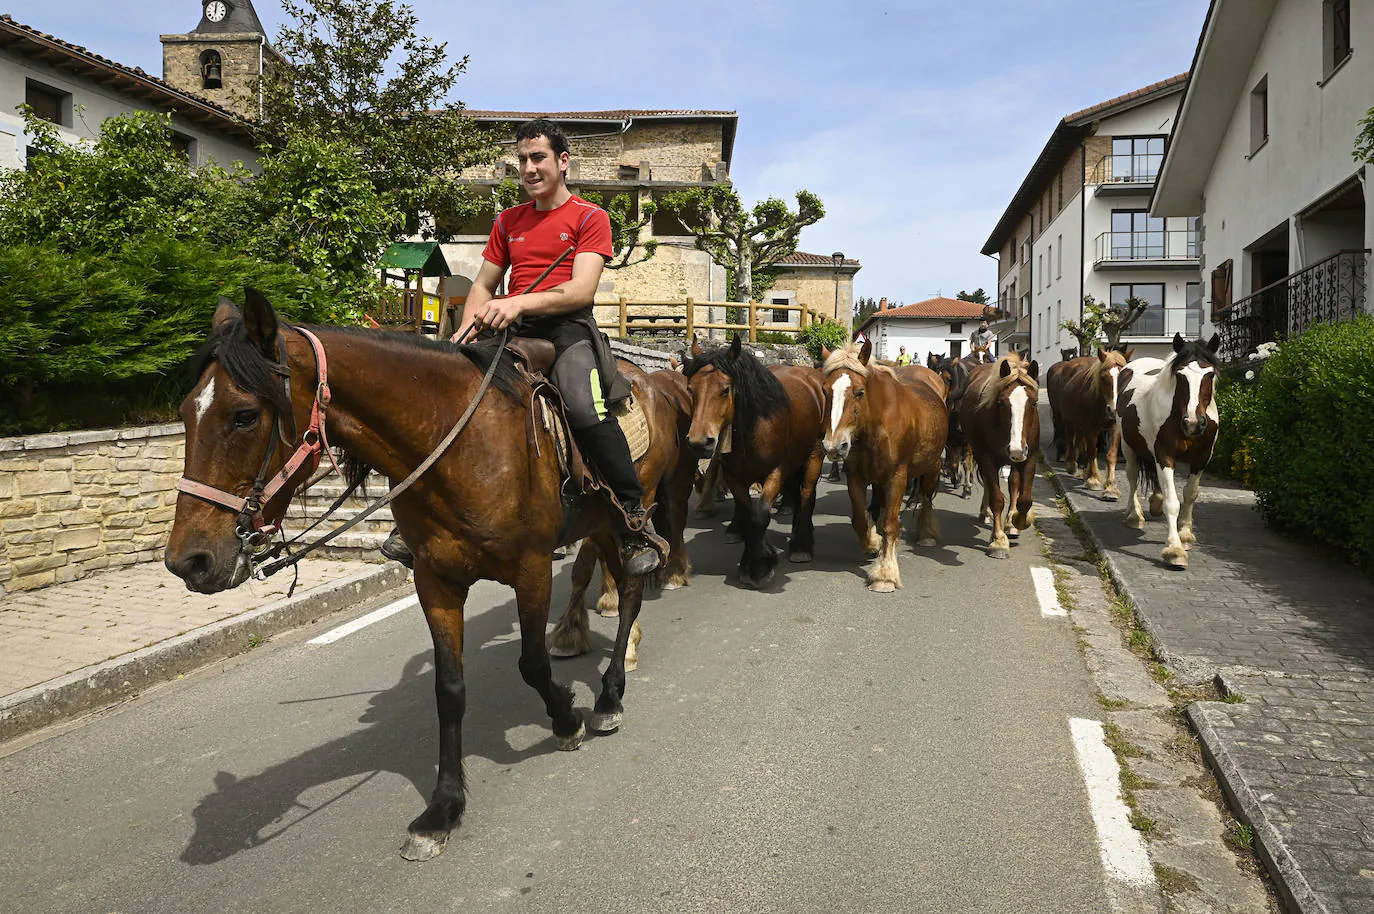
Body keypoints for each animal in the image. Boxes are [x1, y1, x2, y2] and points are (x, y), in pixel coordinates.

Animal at [681, 333, 818, 585]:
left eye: (725, 390)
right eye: (690, 389)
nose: (699, 443)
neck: (753, 425)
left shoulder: (775, 472)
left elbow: (760, 515)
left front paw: (759, 566)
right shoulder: (734, 476)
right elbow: (747, 512)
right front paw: (752, 558)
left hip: (814, 454)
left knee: (806, 493)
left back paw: (801, 544)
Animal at [818, 342, 950, 591]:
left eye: (859, 392)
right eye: (825, 391)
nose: (834, 446)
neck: (876, 425)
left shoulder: (897, 477)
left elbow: (891, 523)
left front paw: (885, 575)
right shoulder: (855, 476)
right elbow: (860, 520)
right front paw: (873, 542)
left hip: (932, 465)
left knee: (927, 498)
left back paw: (926, 534)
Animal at [1044, 346, 1132, 500]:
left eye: (1126, 378)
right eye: (1103, 378)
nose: (1114, 409)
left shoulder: (1114, 427)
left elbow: (1111, 455)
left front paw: (1111, 488)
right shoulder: (1090, 427)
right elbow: (1092, 451)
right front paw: (1093, 479)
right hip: (1067, 418)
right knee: (1071, 439)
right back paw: (1071, 464)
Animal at [1115, 331, 1225, 566]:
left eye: (1209, 375)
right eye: (1181, 375)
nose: (1193, 422)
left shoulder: (1202, 457)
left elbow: (1190, 494)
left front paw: (1185, 535)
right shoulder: (1164, 455)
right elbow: (1172, 501)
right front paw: (1174, 550)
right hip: (1128, 446)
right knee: (1132, 476)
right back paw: (1134, 515)